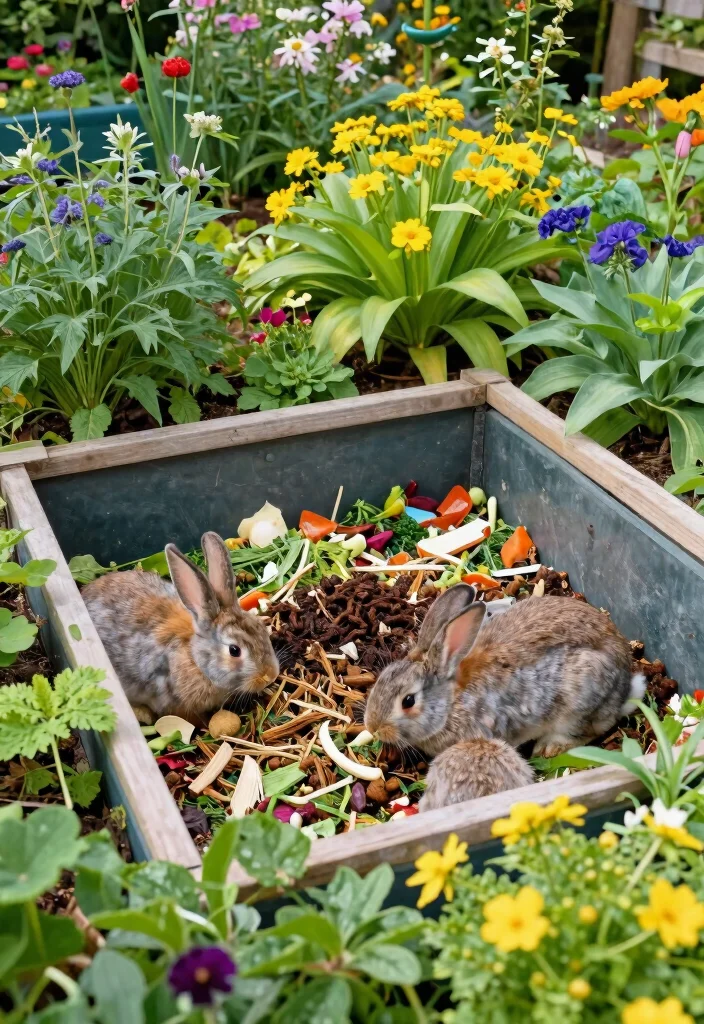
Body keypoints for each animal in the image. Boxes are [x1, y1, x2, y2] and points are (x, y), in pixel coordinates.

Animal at [365, 582, 645, 761]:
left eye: (408, 701)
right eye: (383, 677)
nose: (373, 727)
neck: (451, 702)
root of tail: (626, 687)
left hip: (581, 700)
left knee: (589, 732)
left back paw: (549, 748)